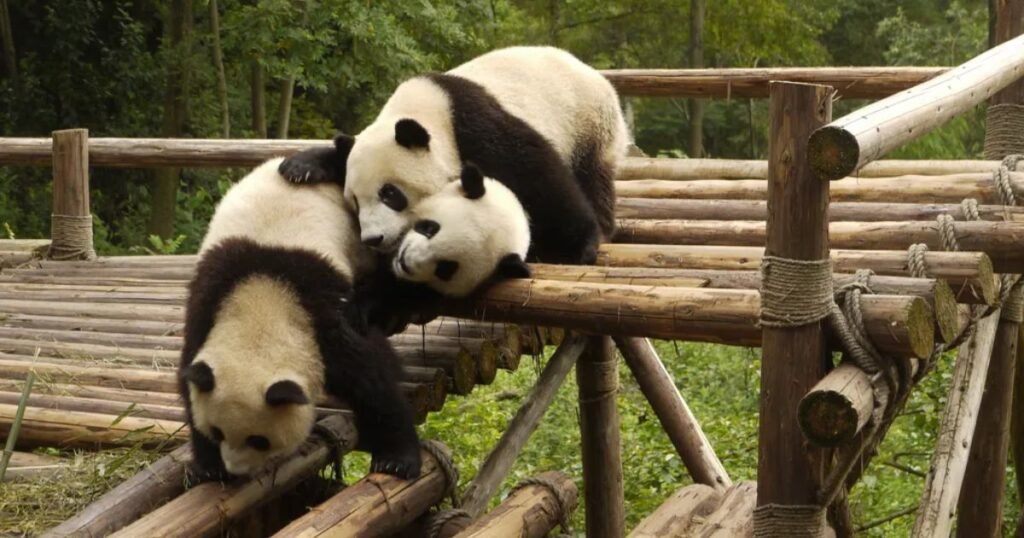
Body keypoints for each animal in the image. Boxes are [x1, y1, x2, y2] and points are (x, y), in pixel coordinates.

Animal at [179, 157, 422, 482]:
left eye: (259, 440)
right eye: (218, 432)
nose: (236, 470)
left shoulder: (324, 315)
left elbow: (373, 381)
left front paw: (398, 460)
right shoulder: (210, 299)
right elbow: (190, 380)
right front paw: (209, 466)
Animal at [279, 45, 628, 266]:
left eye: (390, 194)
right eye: (353, 201)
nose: (374, 238)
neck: (428, 110)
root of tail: (595, 74)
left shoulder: (475, 125)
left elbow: (536, 174)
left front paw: (574, 247)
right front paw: (301, 166)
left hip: (588, 124)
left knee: (591, 176)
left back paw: (599, 226)